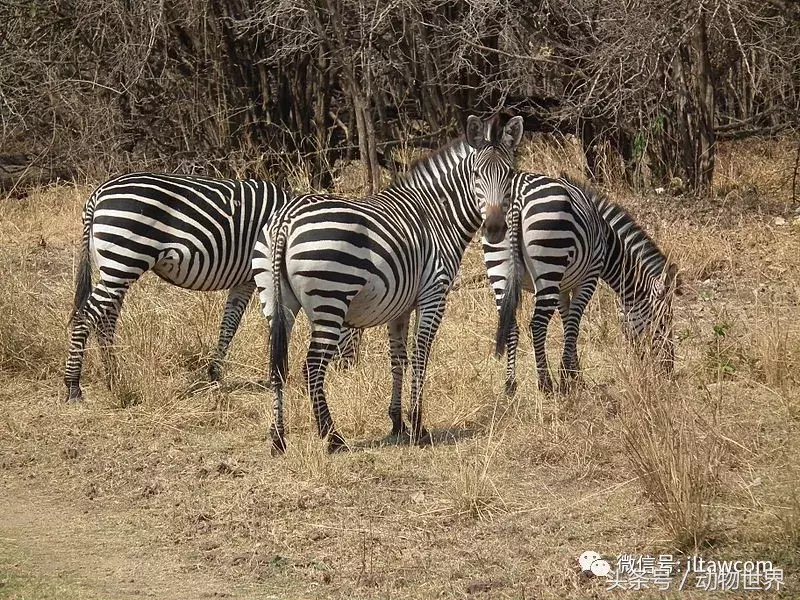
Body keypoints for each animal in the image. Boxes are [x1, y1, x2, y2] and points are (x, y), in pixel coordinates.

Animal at [65, 171, 290, 400]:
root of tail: (98, 194)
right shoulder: (262, 275)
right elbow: (277, 320)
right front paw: (278, 373)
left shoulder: (244, 281)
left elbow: (229, 324)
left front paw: (214, 374)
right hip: (124, 261)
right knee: (85, 315)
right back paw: (73, 385)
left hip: (114, 267)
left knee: (104, 319)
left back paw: (114, 378)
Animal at [252, 115, 524, 452]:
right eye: (476, 175)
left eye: (509, 175)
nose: (496, 229)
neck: (437, 216)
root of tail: (286, 217)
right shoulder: (433, 295)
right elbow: (420, 356)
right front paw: (418, 425)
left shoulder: (400, 307)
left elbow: (398, 359)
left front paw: (397, 422)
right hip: (330, 298)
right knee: (312, 365)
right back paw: (333, 437)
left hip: (276, 301)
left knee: (278, 366)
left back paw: (278, 439)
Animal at [488, 175, 680, 394]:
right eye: (664, 322)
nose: (668, 370)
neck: (608, 242)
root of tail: (518, 196)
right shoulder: (589, 278)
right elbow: (574, 327)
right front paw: (567, 377)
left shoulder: (563, 287)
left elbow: (567, 324)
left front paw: (575, 375)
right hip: (549, 263)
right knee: (537, 325)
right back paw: (545, 384)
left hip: (500, 266)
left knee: (510, 326)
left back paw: (510, 385)